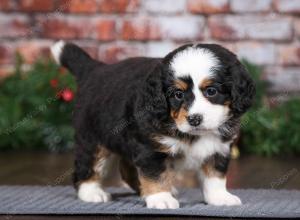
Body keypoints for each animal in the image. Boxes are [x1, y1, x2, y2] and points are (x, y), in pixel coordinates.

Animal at [50, 40, 254, 208]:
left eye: (211, 91)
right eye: (178, 94)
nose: (194, 119)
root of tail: (95, 69)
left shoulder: (218, 148)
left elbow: (215, 175)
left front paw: (219, 197)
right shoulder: (151, 147)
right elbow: (155, 174)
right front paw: (160, 198)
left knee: (127, 170)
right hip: (92, 139)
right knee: (87, 165)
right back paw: (91, 192)